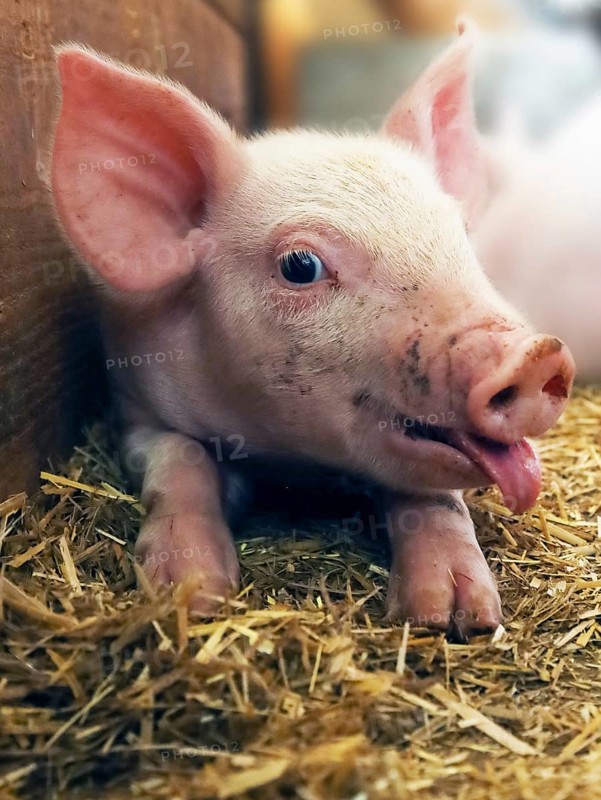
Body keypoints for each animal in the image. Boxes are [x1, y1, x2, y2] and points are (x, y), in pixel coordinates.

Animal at [50, 32, 574, 642]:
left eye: (460, 238)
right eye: (300, 265)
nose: (535, 356)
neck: (294, 459)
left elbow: (432, 491)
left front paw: (452, 617)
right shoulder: (134, 407)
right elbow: (180, 459)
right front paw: (194, 593)